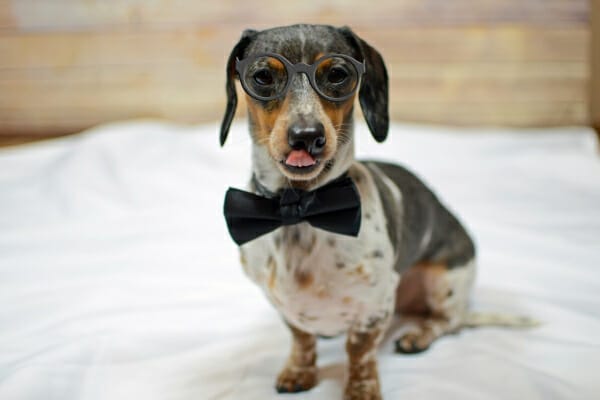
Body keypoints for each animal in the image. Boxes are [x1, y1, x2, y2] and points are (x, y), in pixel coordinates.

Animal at [220, 25, 478, 400]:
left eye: (338, 74)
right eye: (263, 76)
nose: (306, 136)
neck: (301, 208)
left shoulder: (376, 305)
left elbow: (359, 350)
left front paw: (361, 389)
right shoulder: (284, 305)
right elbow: (302, 339)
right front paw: (299, 371)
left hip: (445, 280)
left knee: (448, 322)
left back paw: (418, 335)